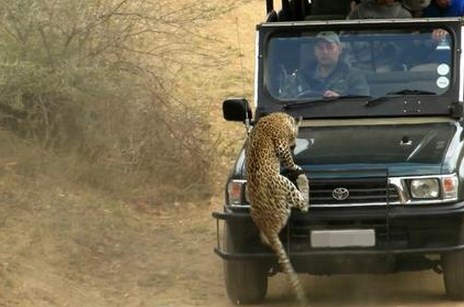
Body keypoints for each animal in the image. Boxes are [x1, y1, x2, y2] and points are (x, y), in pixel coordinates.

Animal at [245, 112, 310, 306]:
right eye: (296, 135)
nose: (295, 144)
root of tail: (266, 225)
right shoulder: (281, 145)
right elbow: (289, 161)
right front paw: (296, 166)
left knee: (264, 238)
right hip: (281, 181)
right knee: (303, 205)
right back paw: (303, 179)